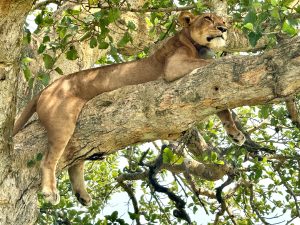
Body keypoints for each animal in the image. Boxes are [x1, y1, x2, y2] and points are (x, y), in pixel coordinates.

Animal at [12, 11, 245, 206]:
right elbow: (210, 66)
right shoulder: (174, 66)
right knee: (48, 160)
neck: (199, 47)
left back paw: (82, 195)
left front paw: (235, 133)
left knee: (75, 162)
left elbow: (221, 104)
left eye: (224, 21)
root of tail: (48, 87)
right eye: (208, 18)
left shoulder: (206, 87)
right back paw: (50, 191)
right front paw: (235, 60)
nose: (223, 29)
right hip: (63, 120)